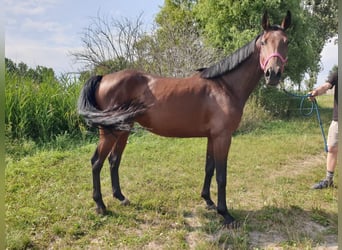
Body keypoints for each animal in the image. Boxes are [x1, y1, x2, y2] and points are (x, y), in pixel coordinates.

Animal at [78, 10, 292, 228]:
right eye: (264, 42)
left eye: (287, 42)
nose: (273, 74)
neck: (225, 87)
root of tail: (103, 78)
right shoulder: (223, 137)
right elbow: (221, 176)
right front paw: (225, 214)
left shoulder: (212, 137)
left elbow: (209, 168)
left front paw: (208, 201)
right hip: (109, 132)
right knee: (96, 162)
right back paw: (100, 206)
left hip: (123, 129)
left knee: (114, 160)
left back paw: (120, 197)